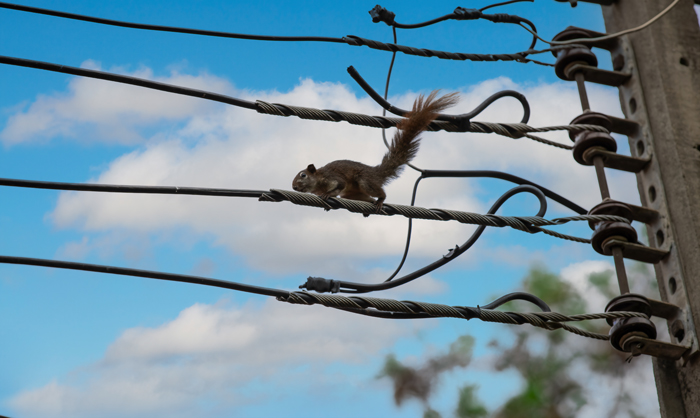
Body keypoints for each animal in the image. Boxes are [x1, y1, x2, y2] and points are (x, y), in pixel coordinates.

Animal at [292, 92, 460, 216]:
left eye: (303, 175)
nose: (293, 187)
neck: (318, 181)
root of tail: (375, 172)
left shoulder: (333, 178)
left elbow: (339, 185)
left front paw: (328, 195)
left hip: (365, 181)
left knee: (379, 192)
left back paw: (380, 200)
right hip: (352, 194)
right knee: (365, 197)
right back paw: (371, 205)